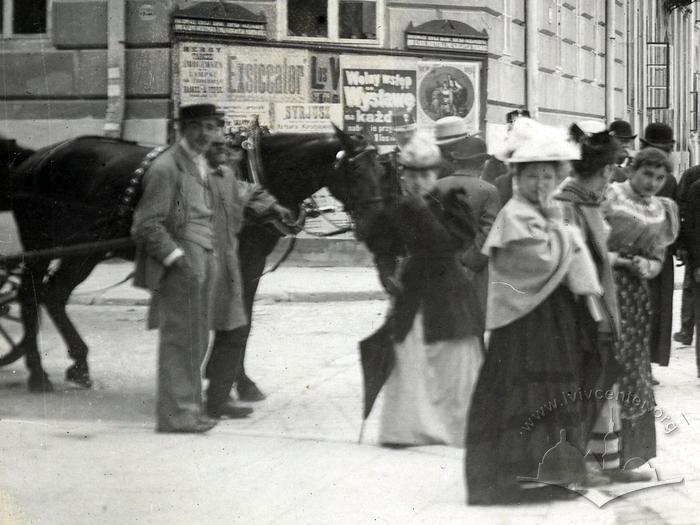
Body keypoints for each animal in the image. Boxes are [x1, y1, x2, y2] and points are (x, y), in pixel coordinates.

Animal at [0, 126, 382, 388]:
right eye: (355, 170)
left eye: (380, 168)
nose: (376, 222)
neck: (254, 175)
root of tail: (34, 159)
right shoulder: (235, 261)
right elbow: (234, 321)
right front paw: (230, 381)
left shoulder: (252, 263)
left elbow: (241, 321)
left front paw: (234, 381)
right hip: (41, 245)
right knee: (30, 296)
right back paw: (37, 374)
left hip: (84, 252)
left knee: (54, 294)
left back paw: (79, 364)